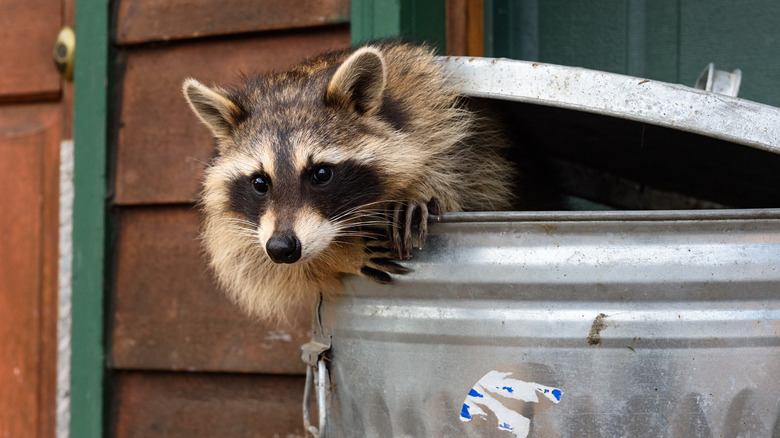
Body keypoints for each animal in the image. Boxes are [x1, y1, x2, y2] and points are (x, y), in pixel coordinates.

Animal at [183, 42, 529, 321]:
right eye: (259, 183)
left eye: (321, 174)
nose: (282, 248)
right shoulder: (242, 228)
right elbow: (254, 264)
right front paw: (339, 255)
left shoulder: (437, 114)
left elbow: (464, 172)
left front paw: (420, 188)